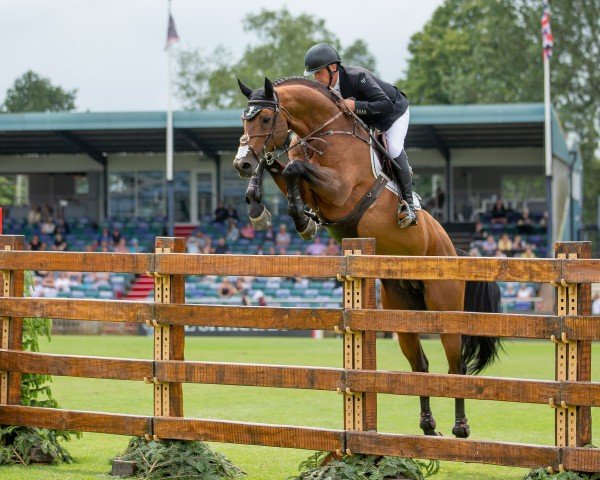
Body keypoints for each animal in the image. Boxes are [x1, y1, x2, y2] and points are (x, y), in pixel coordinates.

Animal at [232, 76, 500, 438]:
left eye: (263, 118)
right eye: (244, 118)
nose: (242, 163)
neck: (324, 135)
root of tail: (453, 251)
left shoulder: (340, 191)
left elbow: (294, 169)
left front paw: (300, 219)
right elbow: (283, 169)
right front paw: (264, 208)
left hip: (445, 308)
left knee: (455, 365)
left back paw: (460, 428)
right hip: (401, 310)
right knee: (420, 365)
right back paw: (428, 427)